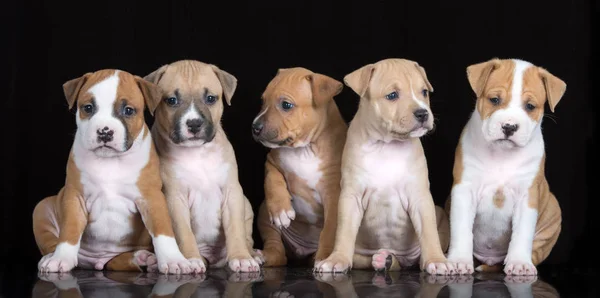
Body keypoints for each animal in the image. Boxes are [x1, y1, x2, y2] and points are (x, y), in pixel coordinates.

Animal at [32, 68, 193, 274]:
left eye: (128, 111)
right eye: (88, 108)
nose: (104, 131)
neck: (110, 161)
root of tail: (98, 261)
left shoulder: (152, 198)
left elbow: (163, 229)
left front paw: (174, 259)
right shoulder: (75, 197)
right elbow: (70, 228)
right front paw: (61, 258)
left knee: (120, 260)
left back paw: (143, 258)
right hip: (41, 208)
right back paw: (50, 257)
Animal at [252, 68, 346, 268]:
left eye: (286, 105)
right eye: (263, 101)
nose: (255, 127)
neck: (304, 149)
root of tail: (302, 251)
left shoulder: (333, 195)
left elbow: (329, 230)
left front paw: (325, 258)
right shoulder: (272, 160)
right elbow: (272, 179)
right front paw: (280, 210)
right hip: (264, 215)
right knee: (278, 253)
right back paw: (262, 255)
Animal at [314, 58, 450, 274]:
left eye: (424, 92)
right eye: (392, 95)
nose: (422, 113)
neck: (387, 146)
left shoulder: (420, 197)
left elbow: (429, 232)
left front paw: (436, 260)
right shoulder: (350, 197)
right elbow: (344, 233)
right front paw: (337, 259)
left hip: (440, 215)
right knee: (367, 261)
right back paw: (383, 260)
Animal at [446, 58, 568, 278]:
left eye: (530, 106)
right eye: (494, 100)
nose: (509, 127)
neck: (502, 155)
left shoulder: (527, 196)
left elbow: (522, 233)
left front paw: (519, 263)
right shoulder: (464, 190)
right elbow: (461, 229)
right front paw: (459, 260)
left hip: (553, 210)